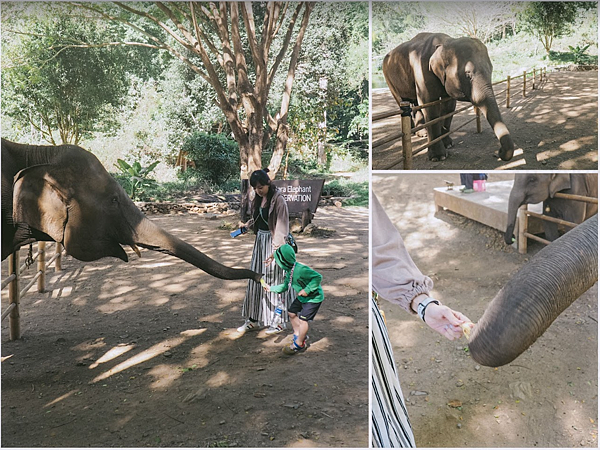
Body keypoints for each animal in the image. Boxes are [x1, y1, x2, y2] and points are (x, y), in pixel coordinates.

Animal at [384, 33, 516, 163]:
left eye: (491, 70)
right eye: (468, 75)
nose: (498, 152)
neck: (445, 42)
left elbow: (449, 107)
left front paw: (448, 144)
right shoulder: (422, 71)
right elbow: (430, 106)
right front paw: (438, 157)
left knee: (415, 102)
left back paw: (421, 133)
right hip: (389, 79)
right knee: (402, 101)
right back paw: (416, 132)